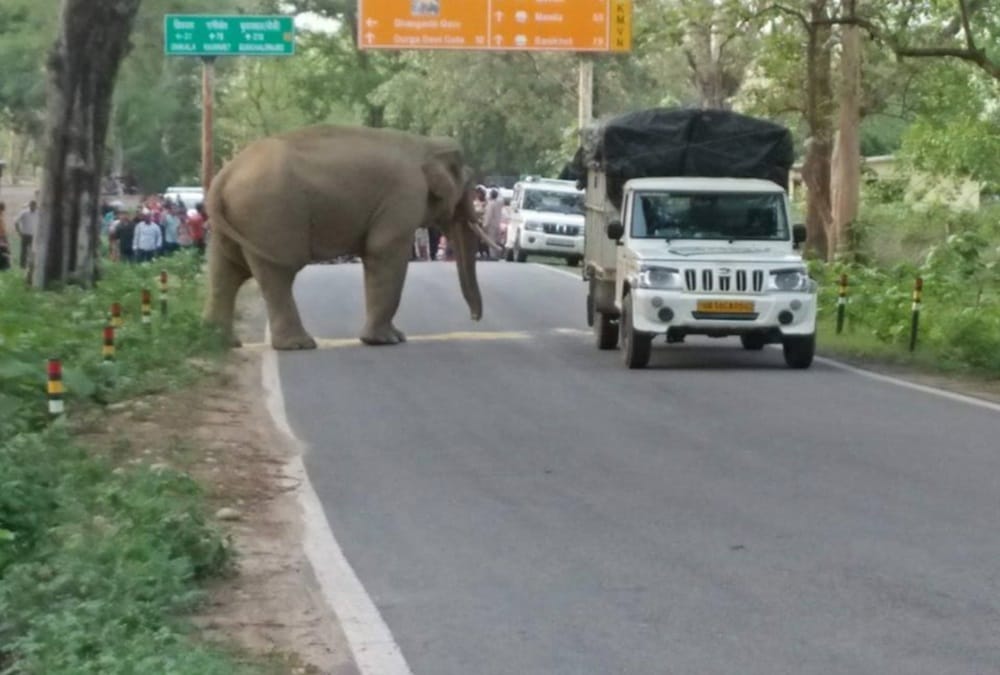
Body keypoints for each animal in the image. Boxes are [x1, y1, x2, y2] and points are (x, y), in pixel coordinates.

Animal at [202, 125, 494, 350]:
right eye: (467, 187)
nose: (474, 318)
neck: (424, 143)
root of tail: (223, 176)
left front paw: (387, 338)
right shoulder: (404, 195)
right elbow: (384, 251)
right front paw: (388, 340)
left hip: (238, 223)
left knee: (225, 272)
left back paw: (223, 343)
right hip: (269, 216)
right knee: (277, 275)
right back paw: (299, 345)